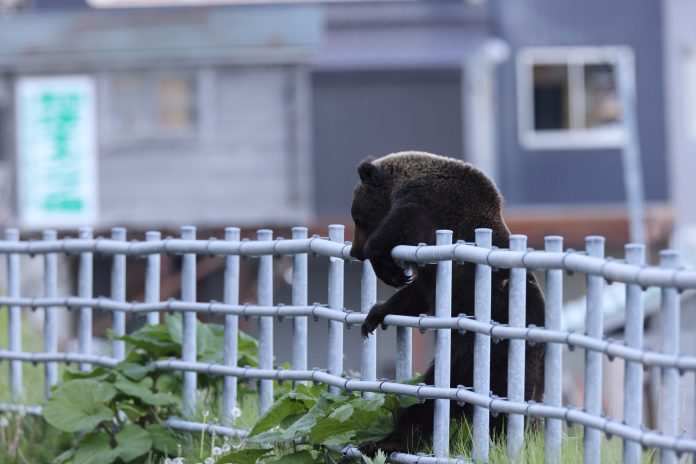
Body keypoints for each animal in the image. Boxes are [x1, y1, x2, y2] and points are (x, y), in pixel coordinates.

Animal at [349, 151, 545, 456]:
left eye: (356, 216)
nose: (354, 251)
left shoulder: (427, 207)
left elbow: (399, 226)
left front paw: (386, 267)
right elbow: (416, 294)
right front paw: (374, 315)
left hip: (479, 353)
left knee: (433, 398)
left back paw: (386, 441)